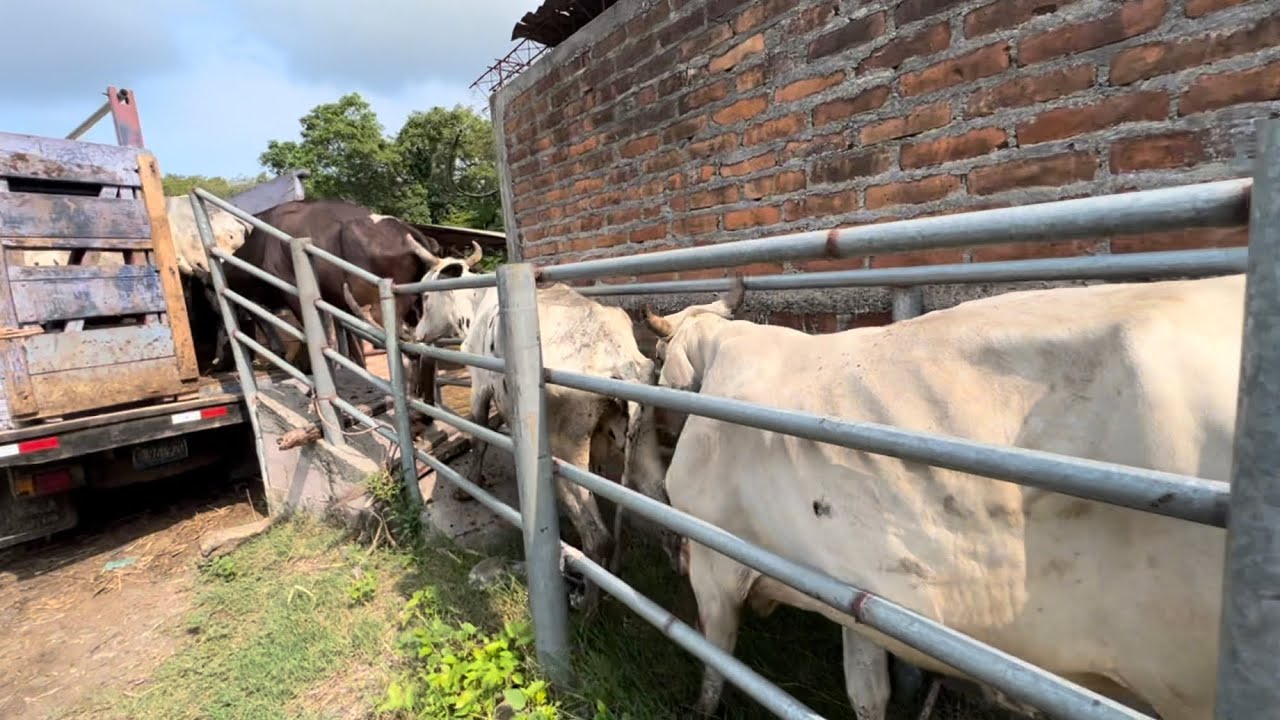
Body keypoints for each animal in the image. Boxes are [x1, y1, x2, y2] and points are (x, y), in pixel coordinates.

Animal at [410, 253, 666, 613]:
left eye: (425, 297)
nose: (416, 335)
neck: (476, 302)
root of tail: (619, 358)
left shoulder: (479, 385)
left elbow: (479, 435)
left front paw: (468, 486)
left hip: (564, 456)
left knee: (598, 536)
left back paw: (588, 606)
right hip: (641, 442)